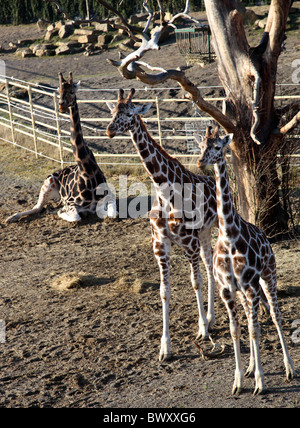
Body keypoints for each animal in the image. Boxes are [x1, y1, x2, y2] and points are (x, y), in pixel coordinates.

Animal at [6, 71, 116, 222]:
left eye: (72, 91)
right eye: (59, 91)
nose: (61, 106)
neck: (87, 171)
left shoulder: (109, 196)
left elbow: (112, 213)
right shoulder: (70, 202)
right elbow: (75, 216)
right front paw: (59, 211)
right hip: (47, 183)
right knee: (38, 207)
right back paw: (11, 218)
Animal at [106, 88, 217, 362]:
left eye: (129, 113)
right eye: (113, 112)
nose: (109, 130)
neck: (162, 187)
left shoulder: (188, 242)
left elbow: (195, 281)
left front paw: (202, 330)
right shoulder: (160, 243)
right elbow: (164, 290)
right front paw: (165, 347)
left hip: (213, 229)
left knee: (212, 267)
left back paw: (209, 321)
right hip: (204, 234)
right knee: (210, 265)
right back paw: (211, 317)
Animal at [197, 126, 296, 394]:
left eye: (217, 147)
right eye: (201, 146)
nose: (200, 162)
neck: (229, 235)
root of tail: (266, 237)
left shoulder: (251, 286)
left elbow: (254, 330)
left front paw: (260, 383)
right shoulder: (228, 289)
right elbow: (235, 330)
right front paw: (239, 380)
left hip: (268, 276)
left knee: (275, 315)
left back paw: (289, 368)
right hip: (243, 292)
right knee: (253, 317)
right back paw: (251, 367)